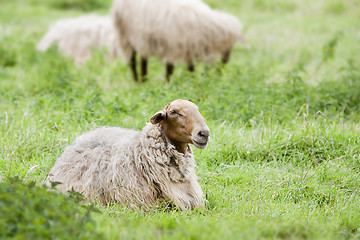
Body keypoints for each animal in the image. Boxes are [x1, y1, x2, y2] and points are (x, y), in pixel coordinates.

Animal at [112, 0, 248, 82]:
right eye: (230, 46)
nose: (226, 61)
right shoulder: (175, 45)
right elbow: (171, 69)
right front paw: (169, 83)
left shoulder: (186, 47)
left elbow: (188, 68)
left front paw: (192, 81)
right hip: (128, 37)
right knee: (134, 61)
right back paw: (140, 81)